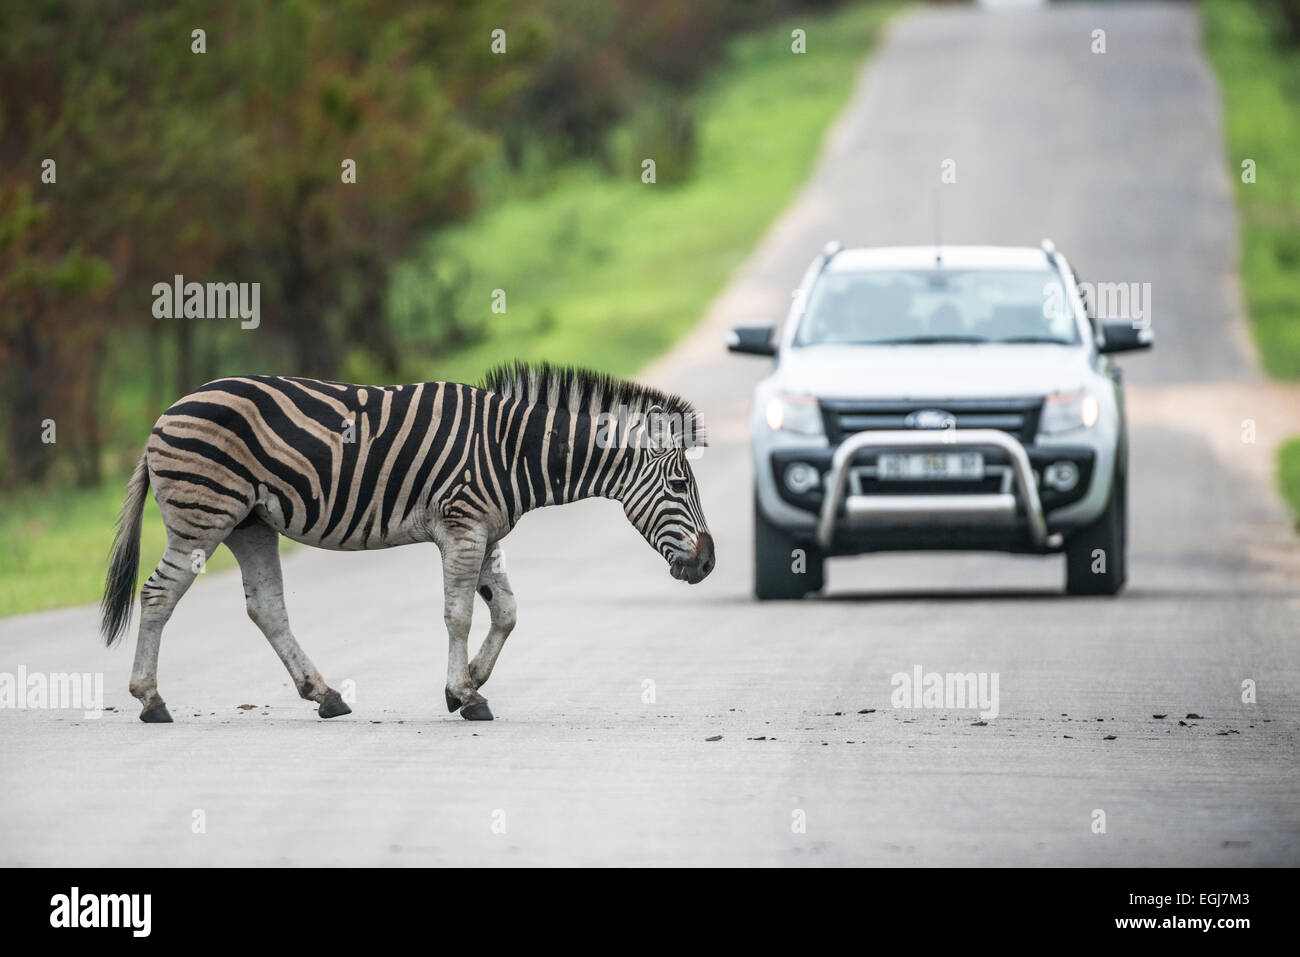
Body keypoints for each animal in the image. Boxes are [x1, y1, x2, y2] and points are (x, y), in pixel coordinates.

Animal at [100, 361, 712, 722]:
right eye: (680, 486)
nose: (708, 563)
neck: (512, 451)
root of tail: (166, 413)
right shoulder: (463, 526)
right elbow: (460, 615)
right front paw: (467, 696)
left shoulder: (484, 532)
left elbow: (507, 611)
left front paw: (468, 684)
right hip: (203, 518)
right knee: (158, 596)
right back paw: (151, 700)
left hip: (249, 525)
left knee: (266, 608)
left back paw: (325, 696)